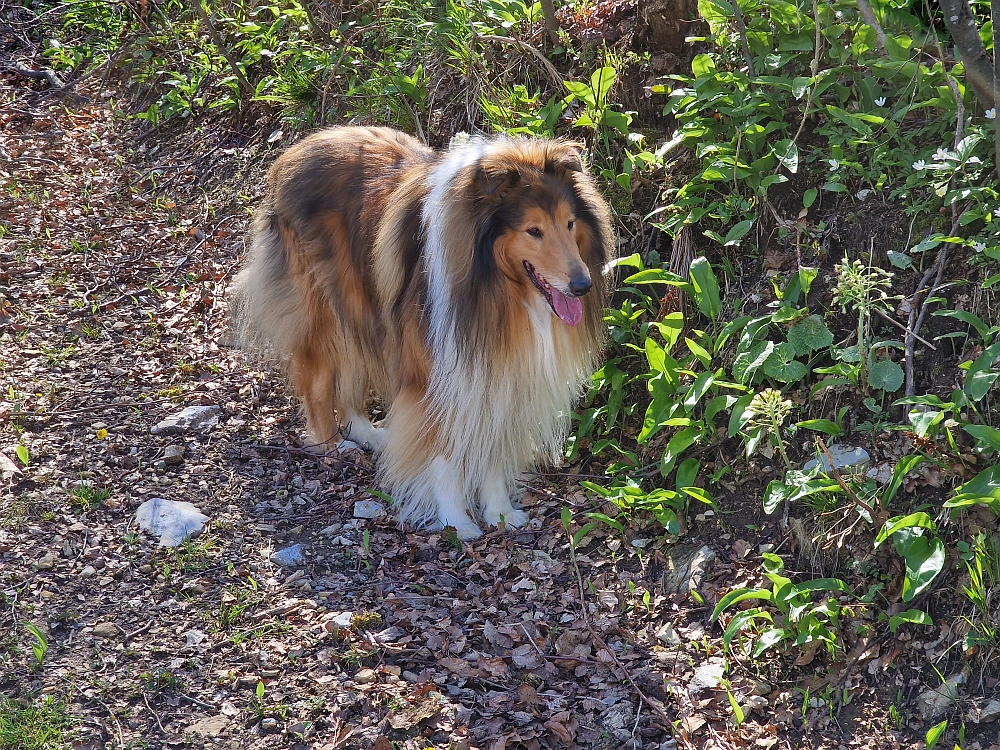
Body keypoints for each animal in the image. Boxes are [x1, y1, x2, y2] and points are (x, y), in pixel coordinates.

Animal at [231, 129, 612, 540]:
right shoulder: (437, 376)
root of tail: (297, 149)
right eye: (533, 230)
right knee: (317, 386)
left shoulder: (498, 373)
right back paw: (332, 446)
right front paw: (456, 521)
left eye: (570, 223)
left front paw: (500, 512)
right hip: (323, 314)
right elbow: (441, 455)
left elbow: (492, 449)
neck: (496, 288)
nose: (582, 286)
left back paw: (368, 432)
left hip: (359, 307)